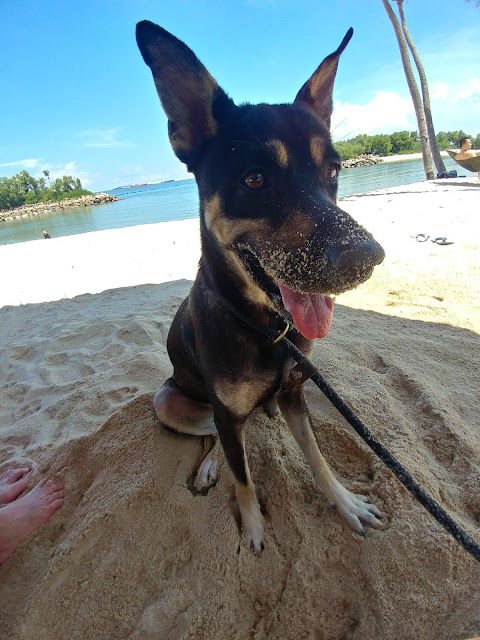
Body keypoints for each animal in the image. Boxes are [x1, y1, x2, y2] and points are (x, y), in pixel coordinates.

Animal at [136, 20, 386, 552]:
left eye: (333, 171)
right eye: (254, 179)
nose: (367, 259)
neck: (264, 326)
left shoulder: (295, 391)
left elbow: (317, 457)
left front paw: (344, 501)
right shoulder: (228, 412)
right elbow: (244, 476)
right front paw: (252, 528)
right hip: (170, 400)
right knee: (215, 435)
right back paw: (211, 464)